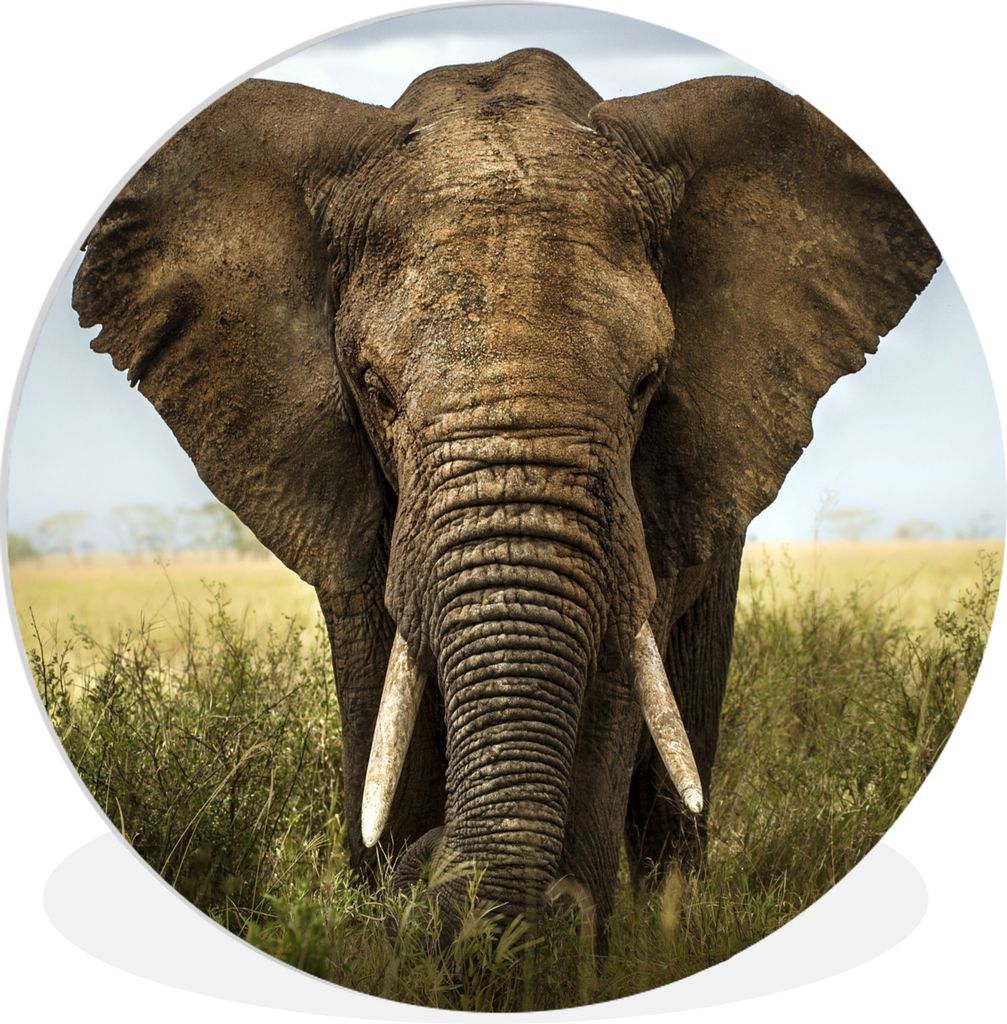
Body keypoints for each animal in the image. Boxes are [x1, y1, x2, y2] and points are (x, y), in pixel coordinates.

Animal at [72, 48, 939, 941]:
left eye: (646, 383)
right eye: (376, 390)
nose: (433, 867)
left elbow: (614, 678)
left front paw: (551, 940)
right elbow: (381, 689)